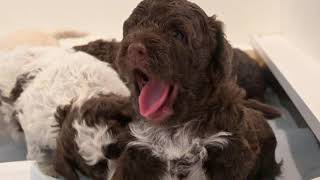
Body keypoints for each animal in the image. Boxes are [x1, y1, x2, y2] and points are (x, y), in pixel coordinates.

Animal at [112, 0, 280, 180]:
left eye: (177, 34)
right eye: (133, 27)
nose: (134, 49)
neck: (174, 127)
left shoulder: (230, 152)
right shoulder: (138, 150)